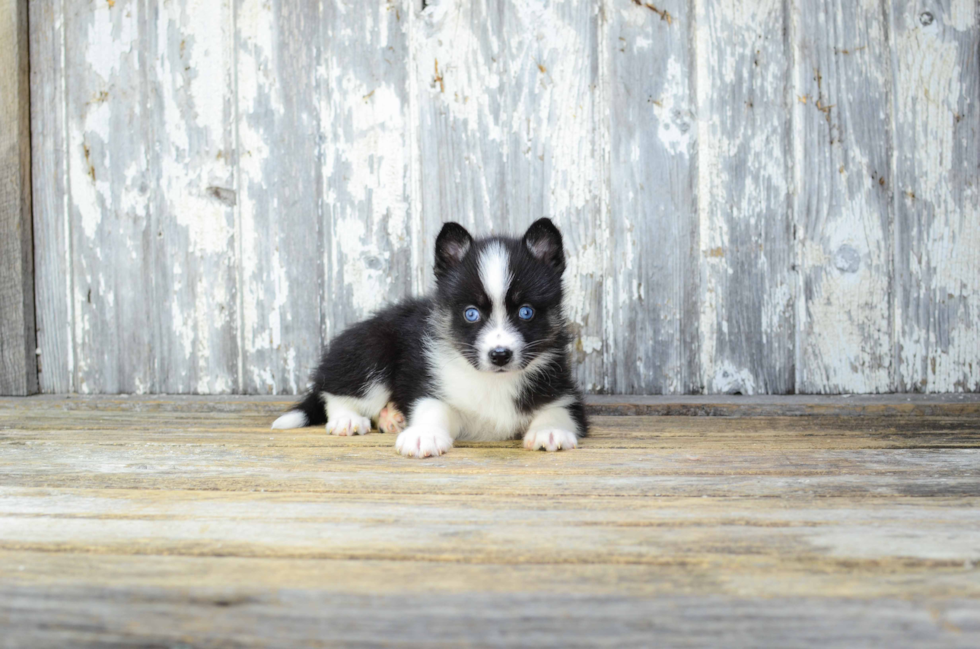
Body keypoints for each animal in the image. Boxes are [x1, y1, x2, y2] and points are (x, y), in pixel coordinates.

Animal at [272, 218, 584, 456]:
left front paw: (550, 431)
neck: (494, 382)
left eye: (526, 311)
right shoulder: (431, 384)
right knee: (337, 390)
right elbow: (431, 407)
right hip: (371, 348)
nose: (499, 355)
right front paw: (423, 434)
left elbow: (560, 410)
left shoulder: (562, 388)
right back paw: (347, 419)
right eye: (471, 313)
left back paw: (390, 418)